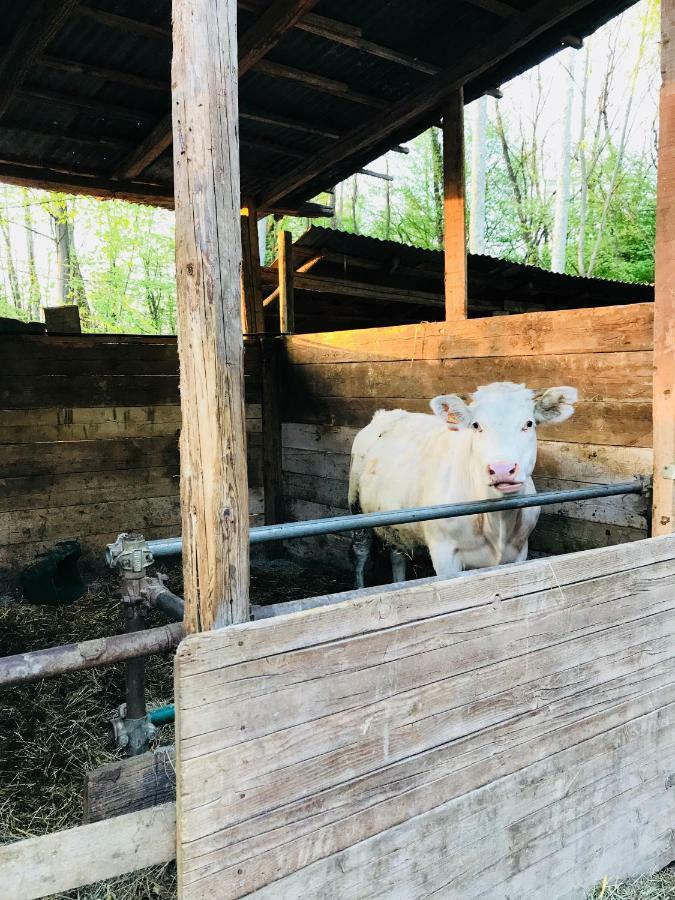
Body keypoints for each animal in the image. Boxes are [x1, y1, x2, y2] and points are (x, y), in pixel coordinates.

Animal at [348, 382, 576, 588]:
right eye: (476, 425)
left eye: (528, 423)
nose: (502, 469)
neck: (498, 522)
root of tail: (385, 414)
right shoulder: (443, 553)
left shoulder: (520, 550)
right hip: (355, 506)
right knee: (360, 553)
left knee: (398, 554)